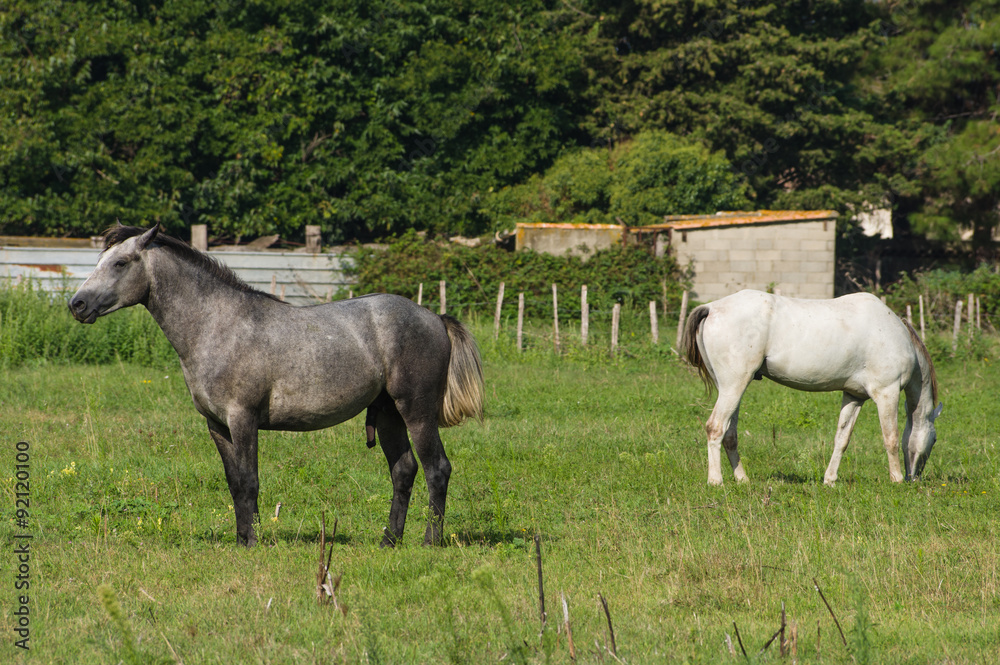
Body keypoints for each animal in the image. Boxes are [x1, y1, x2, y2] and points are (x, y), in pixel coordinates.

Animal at [68, 226, 482, 548]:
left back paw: (431, 541)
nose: (77, 304)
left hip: (416, 412)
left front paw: (253, 542)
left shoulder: (243, 418)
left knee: (436, 469)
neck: (219, 326)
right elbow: (234, 483)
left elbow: (250, 481)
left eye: (120, 263)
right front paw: (241, 540)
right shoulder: (217, 426)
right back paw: (389, 541)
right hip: (388, 415)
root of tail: (434, 317)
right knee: (404, 471)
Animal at [676, 290, 940, 482]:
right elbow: (891, 438)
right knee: (715, 428)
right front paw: (896, 479)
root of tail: (712, 307)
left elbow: (842, 438)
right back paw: (716, 481)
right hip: (734, 386)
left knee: (729, 434)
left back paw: (742, 479)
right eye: (935, 440)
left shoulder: (854, 396)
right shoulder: (887, 393)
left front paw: (830, 479)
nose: (914, 478)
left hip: (730, 389)